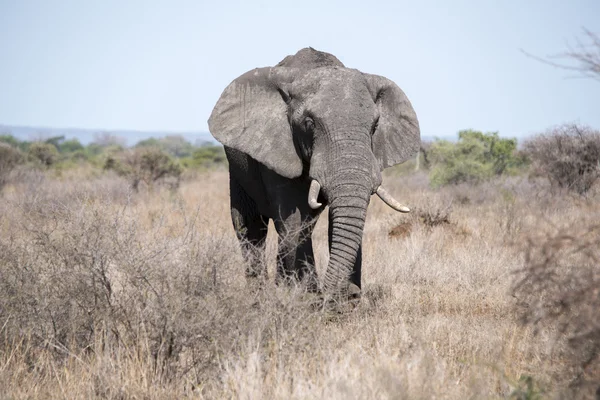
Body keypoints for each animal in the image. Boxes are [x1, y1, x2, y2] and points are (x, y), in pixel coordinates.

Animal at [209, 47, 420, 300]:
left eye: (375, 125)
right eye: (309, 123)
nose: (348, 293)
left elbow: (337, 220)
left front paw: (345, 298)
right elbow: (292, 218)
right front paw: (307, 297)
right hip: (237, 168)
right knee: (250, 225)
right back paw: (259, 295)